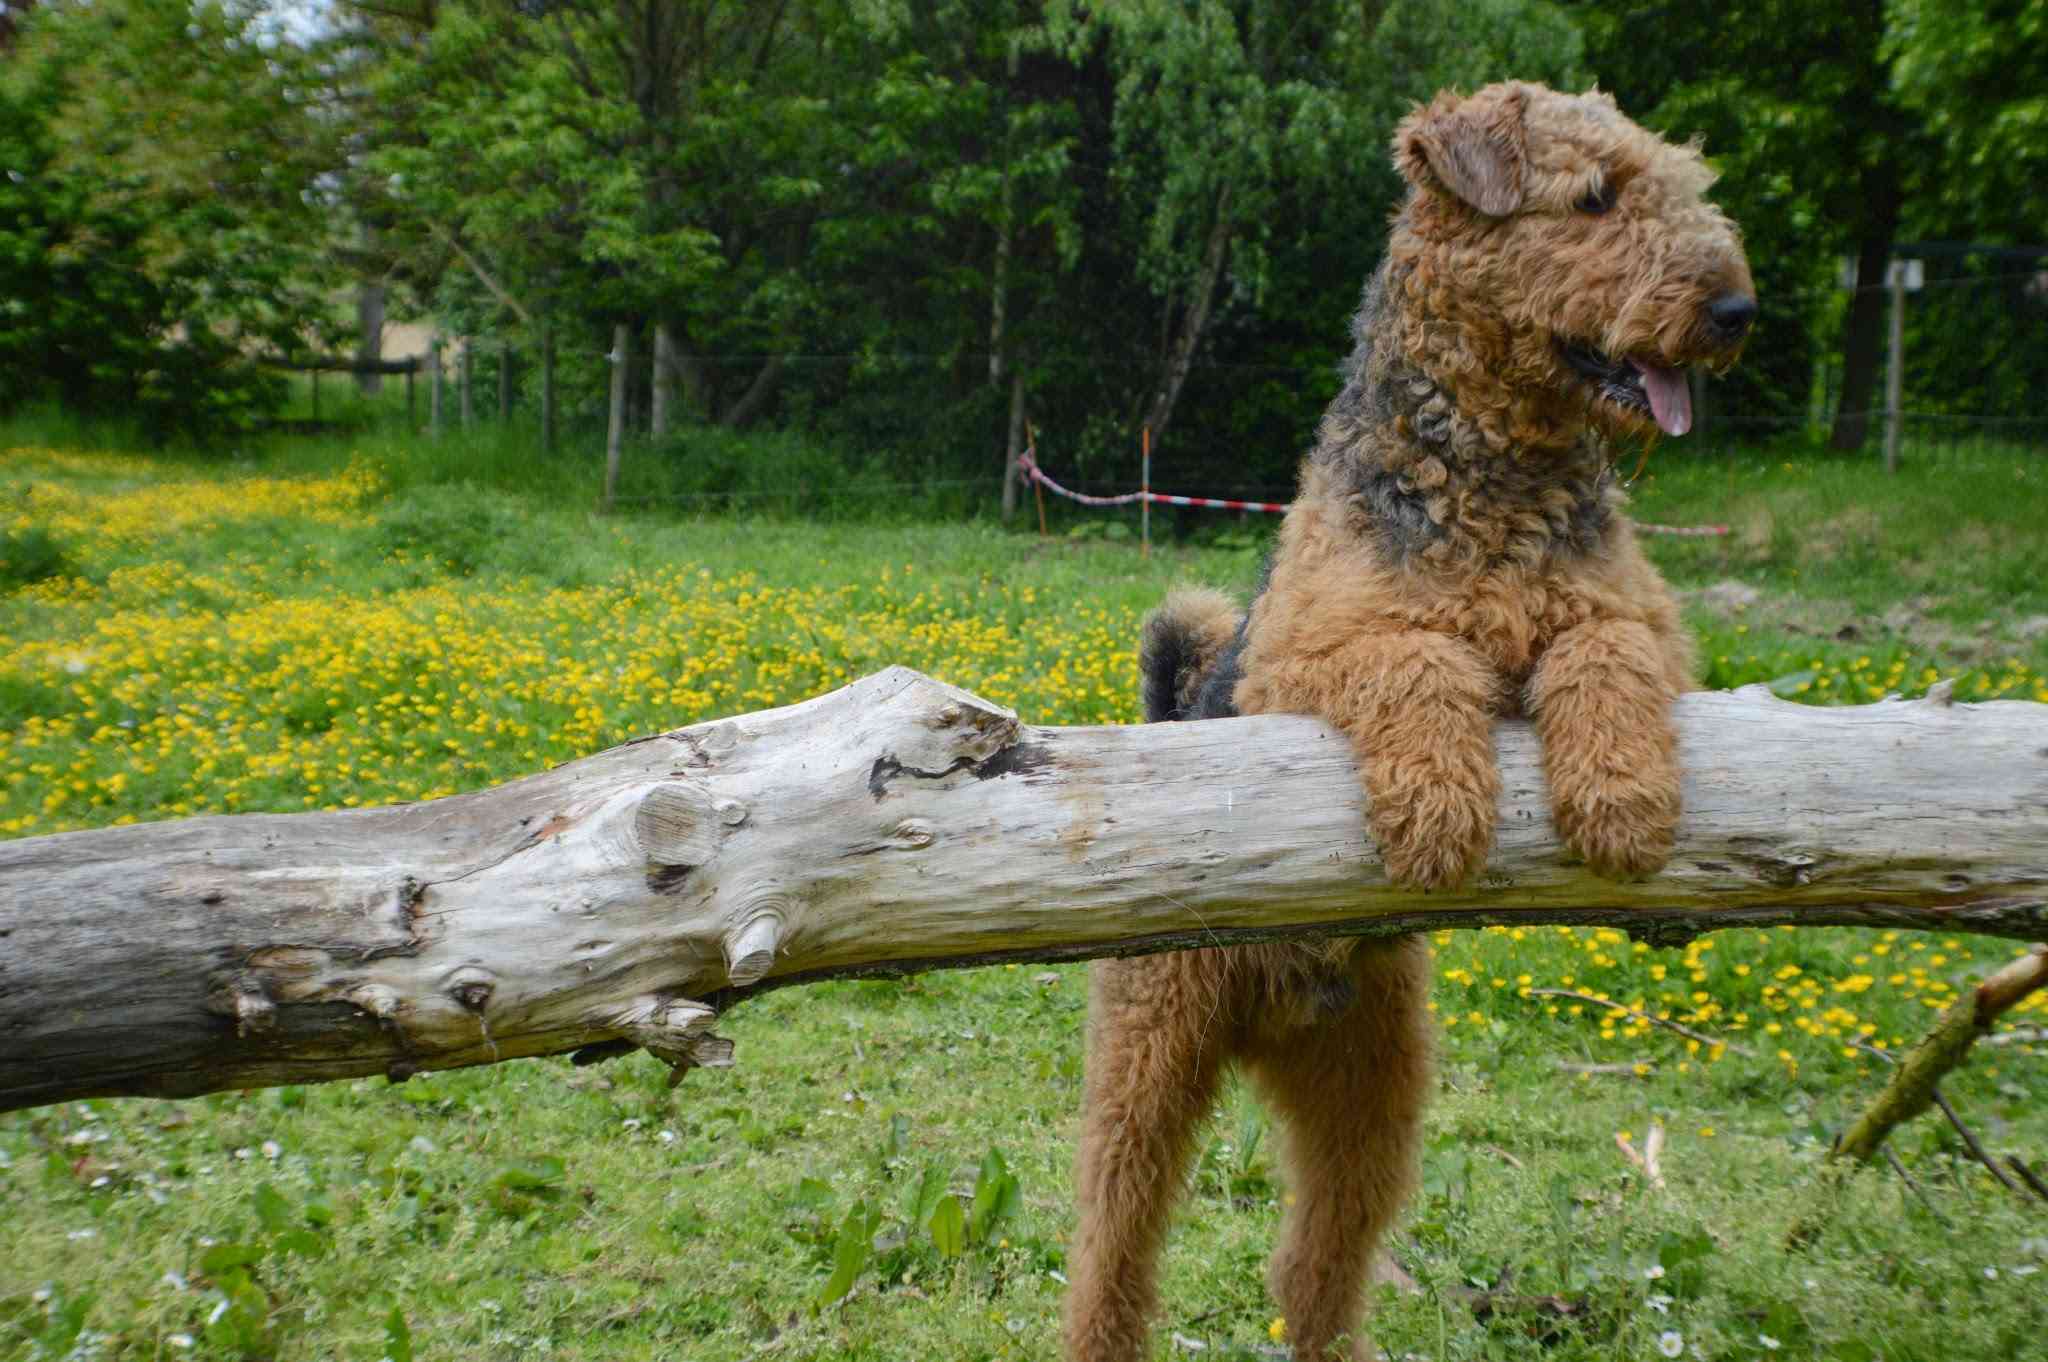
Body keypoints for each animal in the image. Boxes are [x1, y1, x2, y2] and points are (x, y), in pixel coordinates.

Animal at [1064, 84, 1753, 1359]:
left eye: (1680, 180)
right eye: (1594, 197)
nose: (1732, 310)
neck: (1497, 474)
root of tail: (1277, 1005)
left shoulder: (1638, 626)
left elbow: (1603, 651)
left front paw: (1621, 803)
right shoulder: (1304, 654)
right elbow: (1417, 657)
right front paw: (1439, 813)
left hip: (1373, 1091)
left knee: (1313, 1267)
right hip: (1151, 1062)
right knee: (1109, 1262)